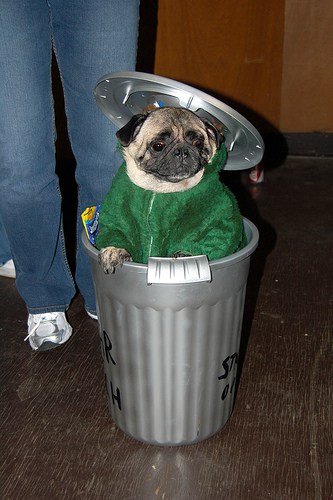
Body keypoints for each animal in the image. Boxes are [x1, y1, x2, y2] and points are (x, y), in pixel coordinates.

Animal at [94, 105, 245, 274]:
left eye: (197, 142)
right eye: (158, 146)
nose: (182, 151)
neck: (161, 188)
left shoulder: (217, 222)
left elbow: (213, 239)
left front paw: (186, 256)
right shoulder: (117, 218)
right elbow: (117, 231)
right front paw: (114, 251)